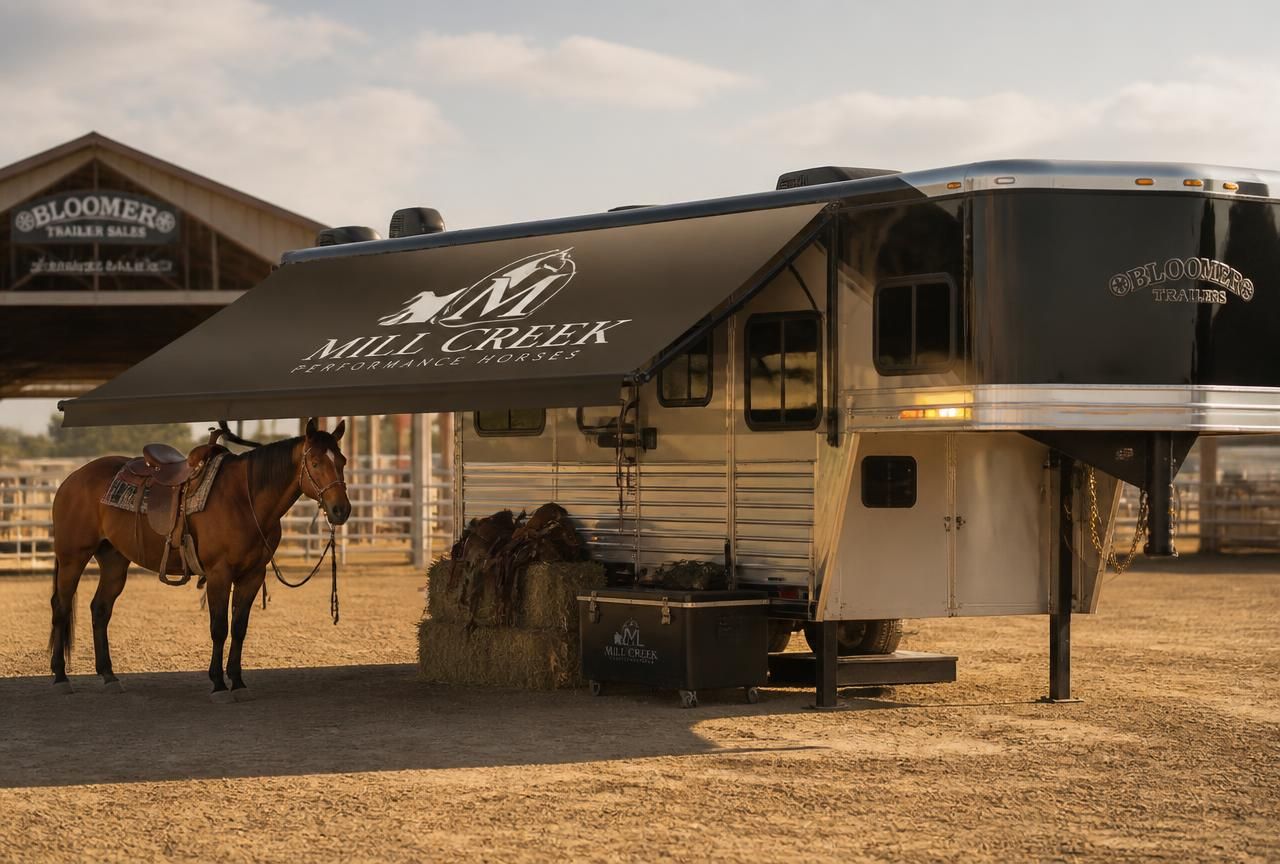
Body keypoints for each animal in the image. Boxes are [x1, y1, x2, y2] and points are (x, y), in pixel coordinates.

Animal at [48, 417, 351, 701]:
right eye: (315, 462)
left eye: (343, 461)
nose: (341, 510)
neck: (245, 499)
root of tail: (71, 479)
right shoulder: (219, 574)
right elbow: (219, 628)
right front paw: (218, 685)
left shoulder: (253, 575)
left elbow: (239, 628)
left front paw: (238, 683)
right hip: (73, 557)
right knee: (61, 607)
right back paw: (61, 678)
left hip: (114, 561)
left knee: (100, 609)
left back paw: (109, 677)